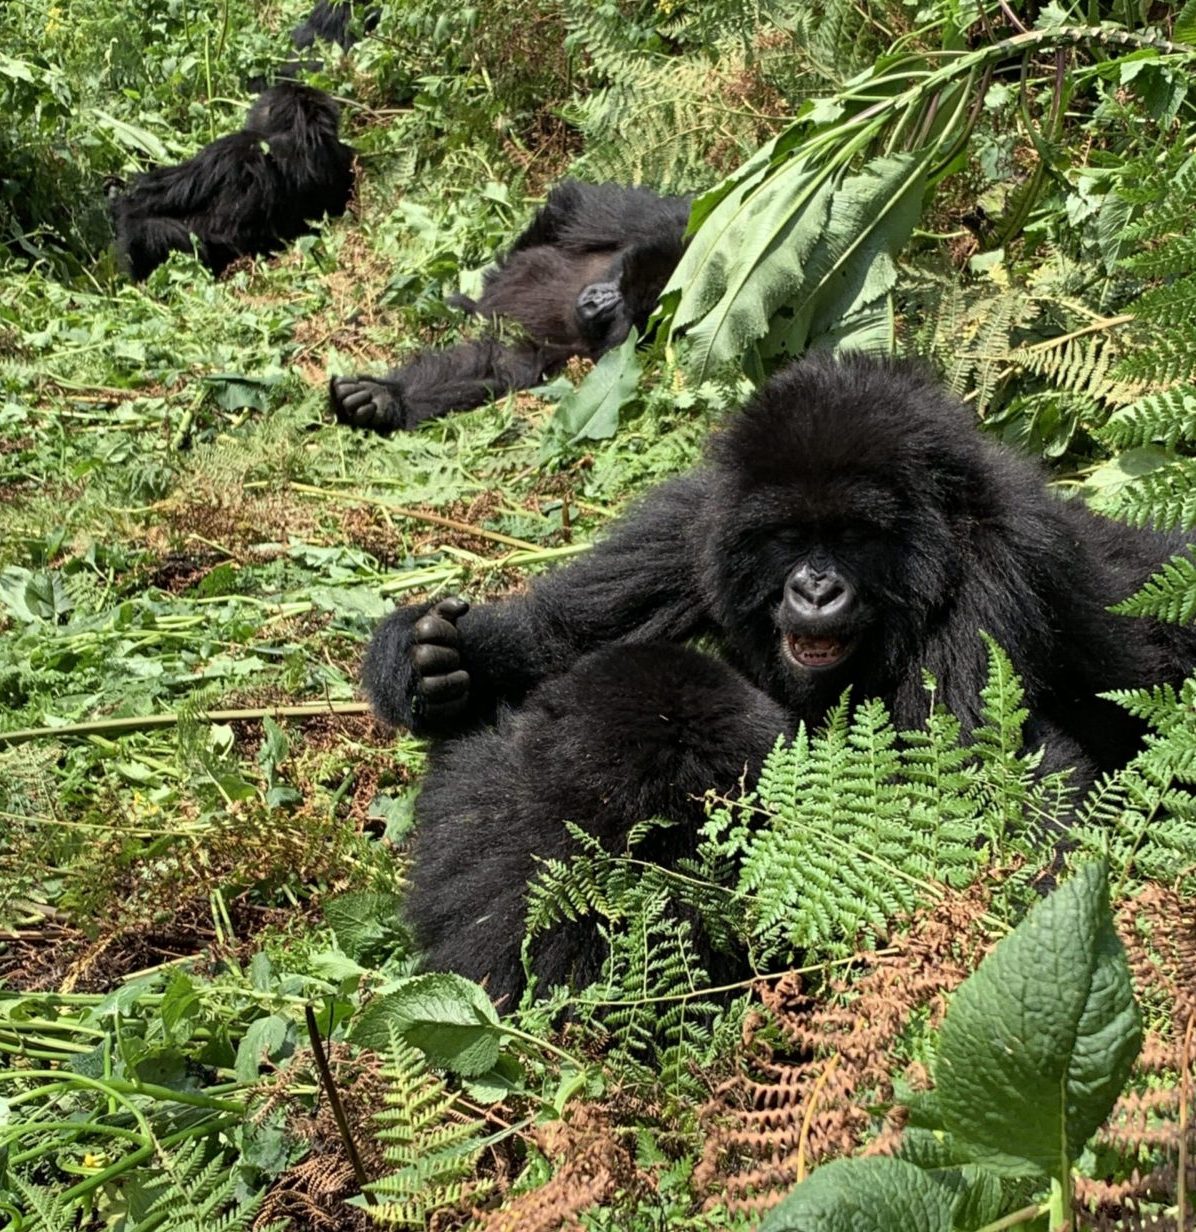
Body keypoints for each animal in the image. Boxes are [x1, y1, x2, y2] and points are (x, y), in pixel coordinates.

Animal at [332, 179, 694, 433]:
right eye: (619, 282)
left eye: (622, 312)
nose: (596, 301)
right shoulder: (652, 225)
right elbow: (578, 205)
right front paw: (385, 397)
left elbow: (492, 368)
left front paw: (387, 401)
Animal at [364, 352, 1196, 1005]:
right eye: (790, 536)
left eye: (854, 535)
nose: (815, 590)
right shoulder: (698, 518)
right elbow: (561, 636)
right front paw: (434, 660)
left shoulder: (994, 573)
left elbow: (938, 817)